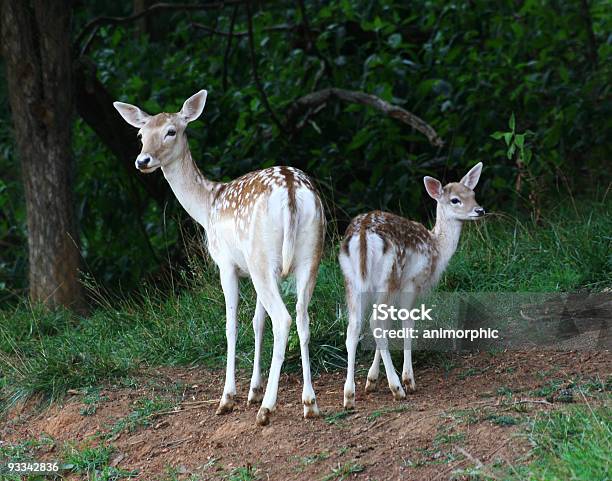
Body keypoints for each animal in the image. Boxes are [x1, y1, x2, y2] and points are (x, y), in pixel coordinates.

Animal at [114, 90, 326, 424]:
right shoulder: (251, 268)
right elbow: (256, 322)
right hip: (309, 254)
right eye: (140, 135)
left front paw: (229, 397)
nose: (142, 160)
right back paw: (309, 403)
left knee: (284, 319)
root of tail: (292, 192)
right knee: (303, 317)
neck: (207, 206)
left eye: (171, 131)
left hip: (263, 257)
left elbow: (231, 325)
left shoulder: (226, 263)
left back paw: (267, 408)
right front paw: (252, 390)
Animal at [340, 163, 482, 406]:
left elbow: (389, 327)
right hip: (390, 274)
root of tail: (363, 235)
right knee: (375, 322)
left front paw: (371, 380)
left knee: (355, 326)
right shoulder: (412, 282)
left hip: (353, 282)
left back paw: (349, 395)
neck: (437, 249)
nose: (480, 210)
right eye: (455, 200)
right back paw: (397, 388)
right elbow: (407, 323)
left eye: (472, 194)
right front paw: (408, 379)